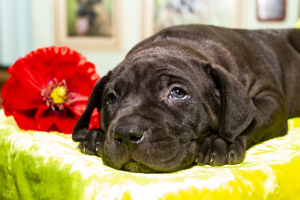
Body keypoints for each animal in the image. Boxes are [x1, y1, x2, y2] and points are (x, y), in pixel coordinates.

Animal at [72, 25, 300, 173]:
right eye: (111, 99)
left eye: (178, 93)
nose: (127, 134)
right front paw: (96, 136)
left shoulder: (270, 97)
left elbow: (250, 121)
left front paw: (220, 142)